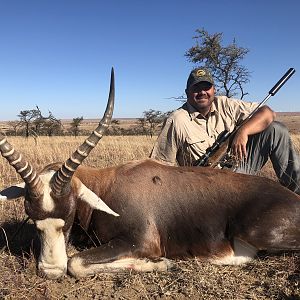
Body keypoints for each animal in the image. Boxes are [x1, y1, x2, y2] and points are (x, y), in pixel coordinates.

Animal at [0, 69, 300, 278]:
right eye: (31, 215)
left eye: (70, 211)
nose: (50, 271)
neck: (108, 185)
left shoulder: (140, 241)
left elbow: (76, 262)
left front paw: (162, 263)